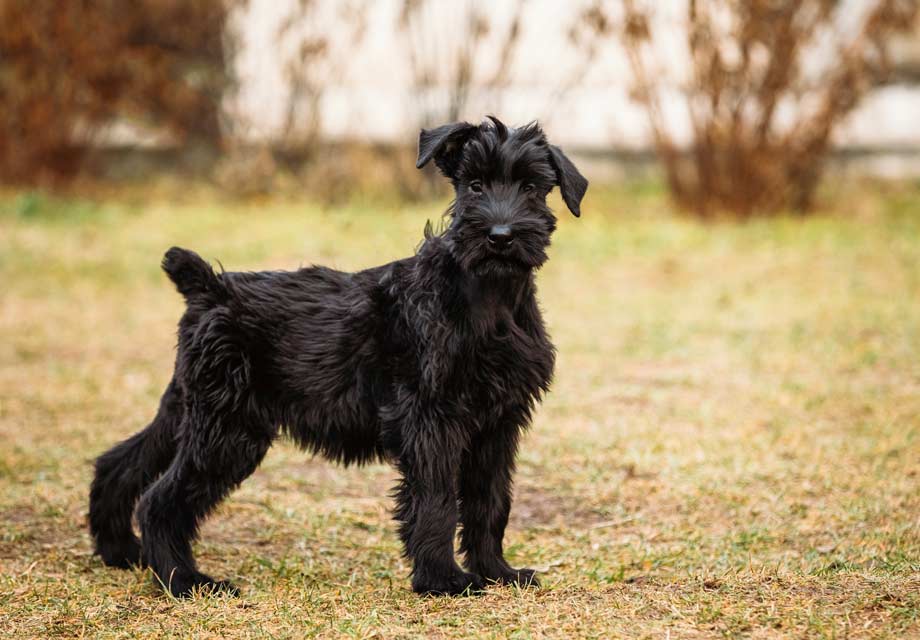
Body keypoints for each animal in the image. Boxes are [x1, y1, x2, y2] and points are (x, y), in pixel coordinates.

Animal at [88, 116, 588, 600]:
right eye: (475, 185)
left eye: (531, 188)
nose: (500, 236)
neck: (489, 299)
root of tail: (208, 287)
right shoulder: (432, 419)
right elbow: (437, 501)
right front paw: (443, 581)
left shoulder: (498, 423)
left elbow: (490, 502)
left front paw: (497, 572)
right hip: (227, 430)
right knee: (160, 500)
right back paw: (185, 581)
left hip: (191, 409)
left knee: (121, 463)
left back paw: (121, 550)